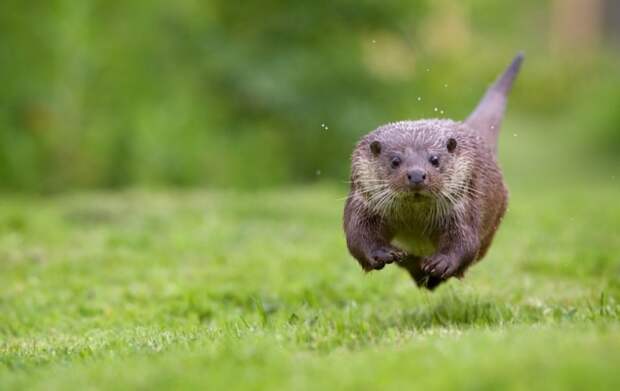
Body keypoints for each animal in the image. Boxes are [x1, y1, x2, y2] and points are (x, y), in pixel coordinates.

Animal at [344, 53, 524, 290]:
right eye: (395, 161)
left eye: (434, 159)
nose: (417, 174)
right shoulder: (362, 201)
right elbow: (356, 234)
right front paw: (381, 253)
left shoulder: (463, 207)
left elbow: (464, 241)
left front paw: (441, 264)